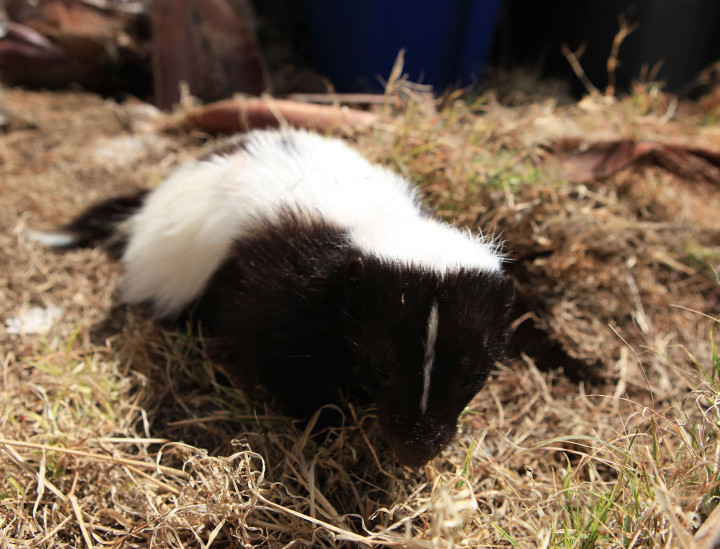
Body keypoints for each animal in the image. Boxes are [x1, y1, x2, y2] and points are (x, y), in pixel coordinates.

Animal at [50, 130, 516, 466]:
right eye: (382, 366)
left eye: (472, 377)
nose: (415, 451)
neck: (371, 220)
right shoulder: (280, 285)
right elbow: (284, 357)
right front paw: (327, 422)